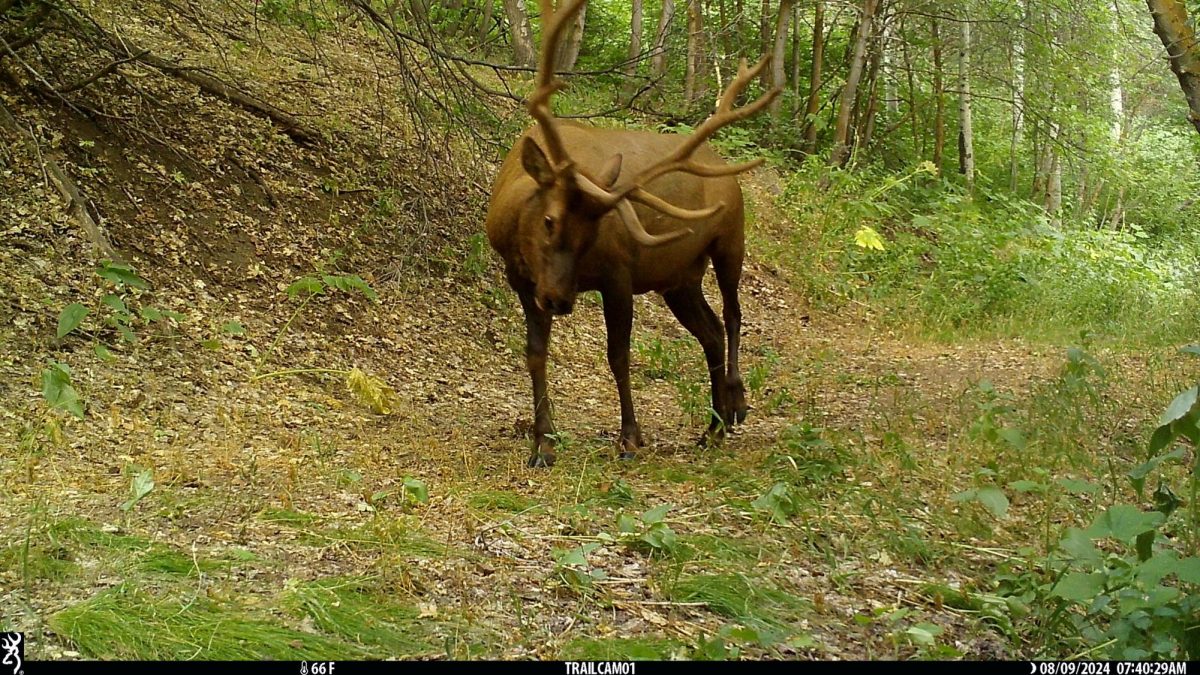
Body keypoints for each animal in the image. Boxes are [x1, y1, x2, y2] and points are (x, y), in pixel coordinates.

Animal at [482, 0, 782, 468]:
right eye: (549, 220)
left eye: (594, 232)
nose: (560, 301)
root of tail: (724, 168)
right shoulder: (522, 278)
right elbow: (535, 353)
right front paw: (543, 443)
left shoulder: (618, 274)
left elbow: (618, 354)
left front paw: (629, 436)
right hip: (679, 278)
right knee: (711, 330)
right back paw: (711, 428)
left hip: (731, 239)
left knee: (733, 315)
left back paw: (735, 404)